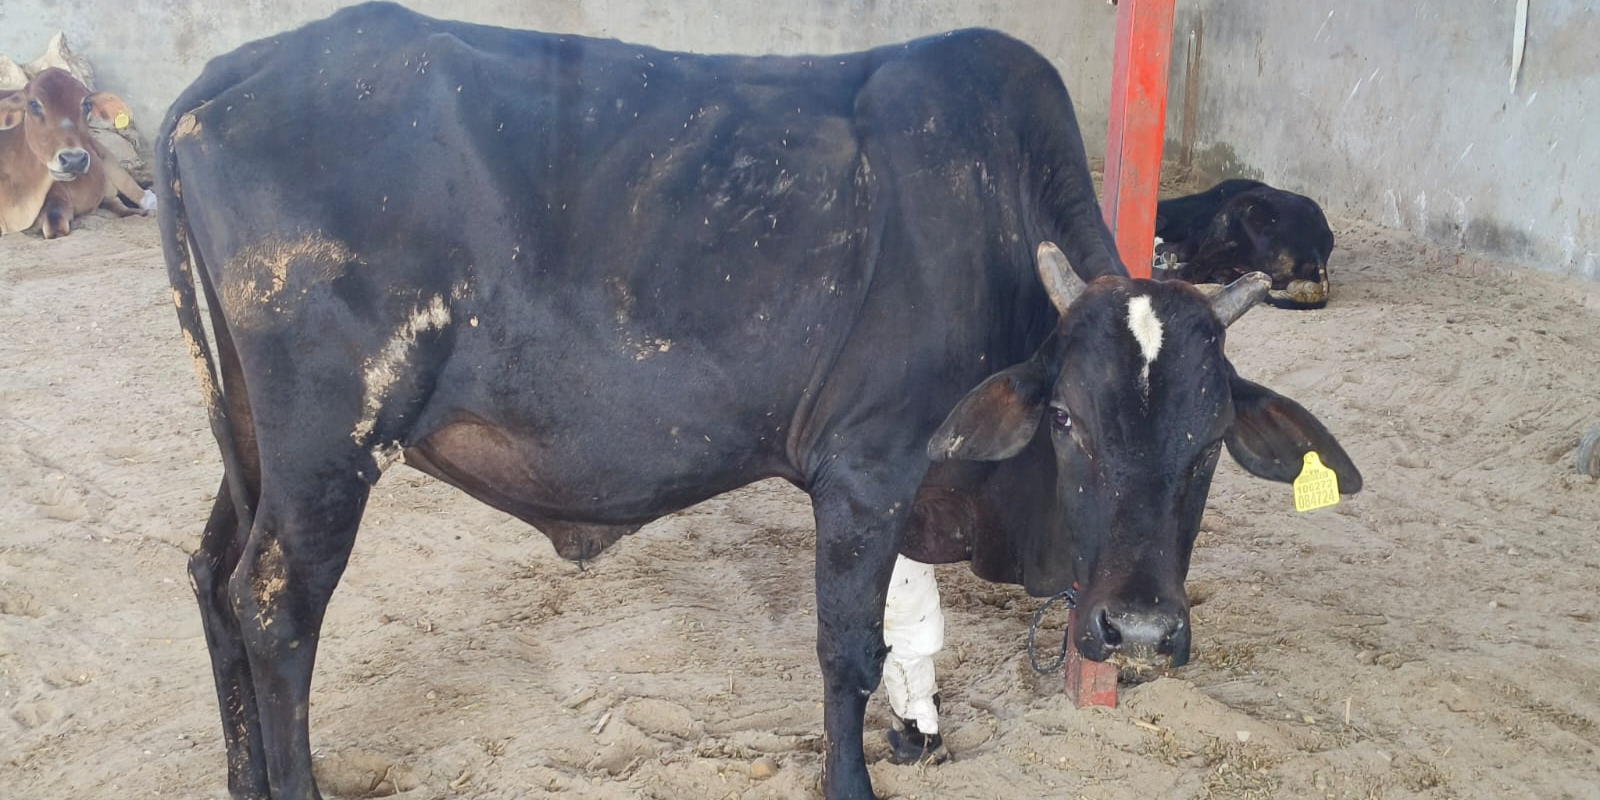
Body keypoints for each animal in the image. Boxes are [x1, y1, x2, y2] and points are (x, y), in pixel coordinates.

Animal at [0, 67, 152, 238]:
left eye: (87, 105)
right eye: (33, 105)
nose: (74, 159)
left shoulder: (59, 195)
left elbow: (55, 227)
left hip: (111, 163)